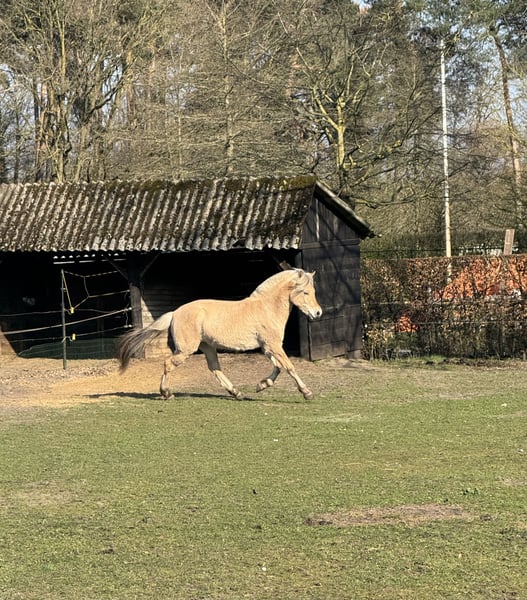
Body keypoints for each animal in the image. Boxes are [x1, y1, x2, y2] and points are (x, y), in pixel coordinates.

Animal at [118, 268, 323, 401]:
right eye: (305, 292)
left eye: (313, 291)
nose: (318, 313)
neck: (266, 308)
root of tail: (175, 312)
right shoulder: (273, 346)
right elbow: (289, 367)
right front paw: (307, 393)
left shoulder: (268, 347)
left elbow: (278, 367)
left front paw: (261, 385)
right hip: (186, 350)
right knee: (168, 364)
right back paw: (166, 393)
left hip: (208, 347)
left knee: (215, 368)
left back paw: (236, 393)